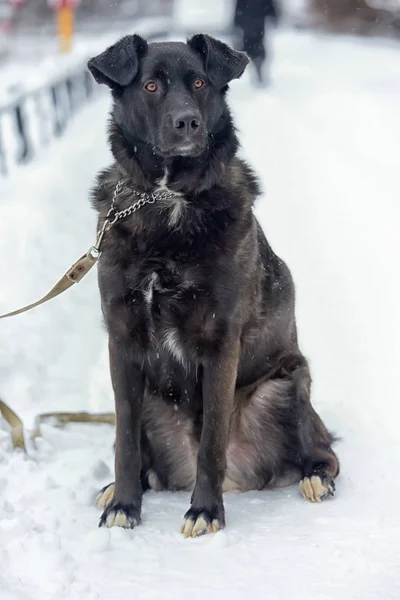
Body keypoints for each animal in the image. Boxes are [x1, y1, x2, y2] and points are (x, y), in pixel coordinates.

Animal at [87, 34, 338, 540]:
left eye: (200, 83)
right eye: (151, 86)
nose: (188, 122)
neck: (166, 199)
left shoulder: (221, 342)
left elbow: (211, 441)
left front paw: (205, 511)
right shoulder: (122, 341)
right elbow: (123, 440)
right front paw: (124, 504)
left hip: (287, 383)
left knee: (324, 450)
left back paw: (315, 477)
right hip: (150, 397)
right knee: (143, 455)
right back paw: (120, 488)